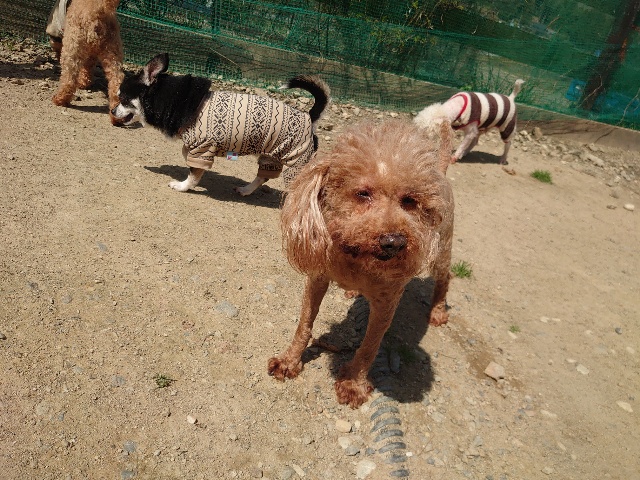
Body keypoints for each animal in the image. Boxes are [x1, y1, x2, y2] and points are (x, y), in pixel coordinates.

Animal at [112, 53, 331, 196]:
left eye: (123, 98)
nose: (112, 111)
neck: (175, 100)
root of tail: (309, 116)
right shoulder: (195, 147)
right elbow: (188, 159)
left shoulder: (203, 147)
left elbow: (194, 174)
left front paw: (183, 186)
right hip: (271, 155)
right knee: (264, 176)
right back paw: (246, 190)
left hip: (297, 160)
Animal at [269, 120, 455, 408]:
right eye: (362, 194)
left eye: (409, 201)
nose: (394, 242)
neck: (355, 258)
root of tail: (442, 172)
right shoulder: (317, 278)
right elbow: (304, 323)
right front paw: (289, 361)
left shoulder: (386, 302)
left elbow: (369, 346)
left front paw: (353, 384)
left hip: (442, 251)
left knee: (445, 278)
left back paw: (437, 311)